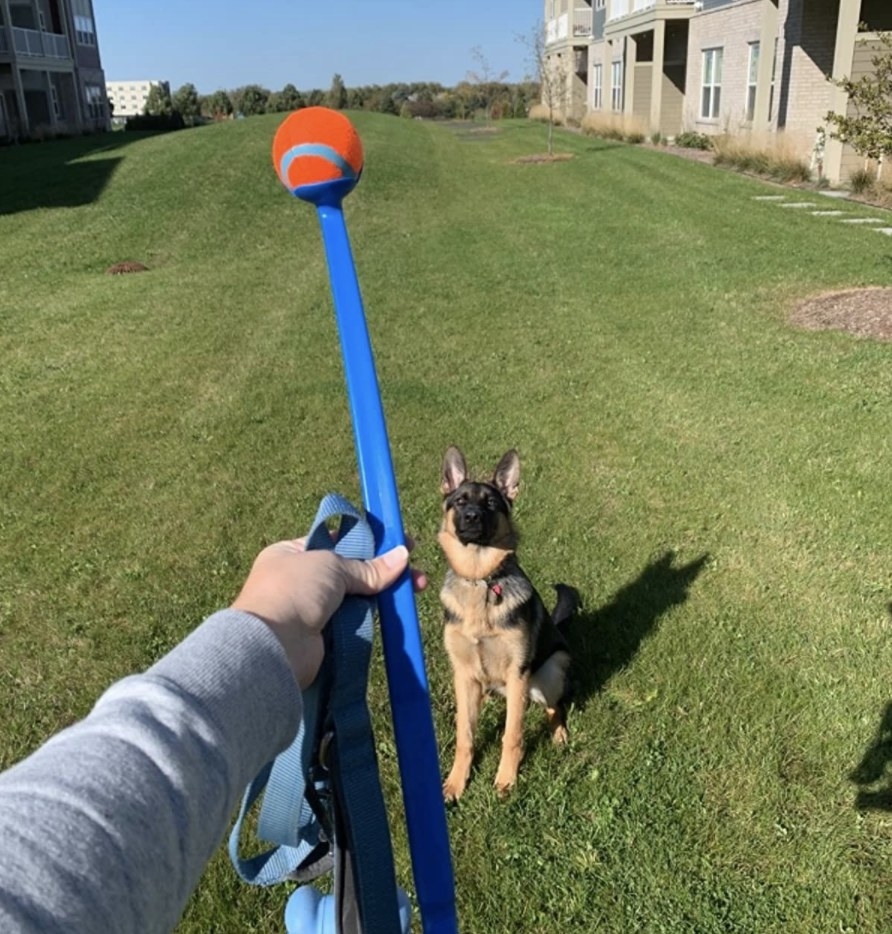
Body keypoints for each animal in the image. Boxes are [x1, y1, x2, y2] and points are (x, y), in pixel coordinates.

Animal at [438, 448, 580, 804]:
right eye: (460, 501)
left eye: (491, 503)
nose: (472, 517)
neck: (480, 580)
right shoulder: (463, 672)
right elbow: (465, 736)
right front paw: (456, 782)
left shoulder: (518, 674)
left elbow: (512, 735)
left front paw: (505, 780)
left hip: (549, 672)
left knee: (554, 707)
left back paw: (559, 734)